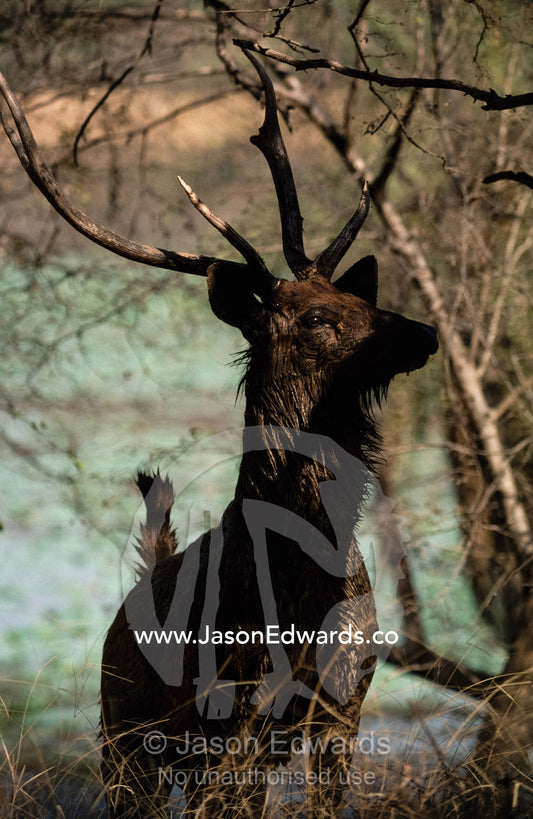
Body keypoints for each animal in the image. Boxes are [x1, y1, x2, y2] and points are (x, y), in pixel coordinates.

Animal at [0, 50, 438, 818]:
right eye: (316, 318)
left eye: (356, 297)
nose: (424, 331)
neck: (300, 592)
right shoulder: (232, 716)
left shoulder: (343, 709)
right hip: (124, 738)